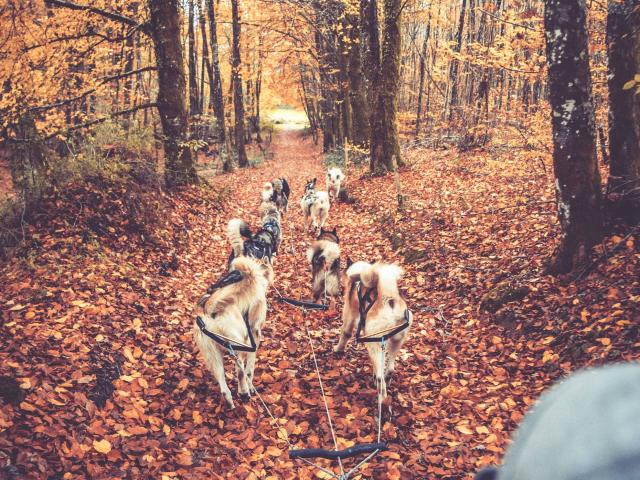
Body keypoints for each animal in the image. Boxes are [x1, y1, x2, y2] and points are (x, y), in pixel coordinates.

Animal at [195, 255, 276, 408]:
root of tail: (211, 308)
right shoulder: (255, 333)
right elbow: (249, 369)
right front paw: (250, 386)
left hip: (213, 355)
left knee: (224, 388)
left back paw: (230, 403)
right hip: (241, 344)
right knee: (240, 372)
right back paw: (244, 392)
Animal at [332, 260, 412, 400]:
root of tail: (389, 299)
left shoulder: (349, 316)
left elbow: (345, 334)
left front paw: (338, 349)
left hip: (373, 343)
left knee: (381, 379)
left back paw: (382, 398)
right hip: (396, 342)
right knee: (389, 368)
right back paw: (386, 378)